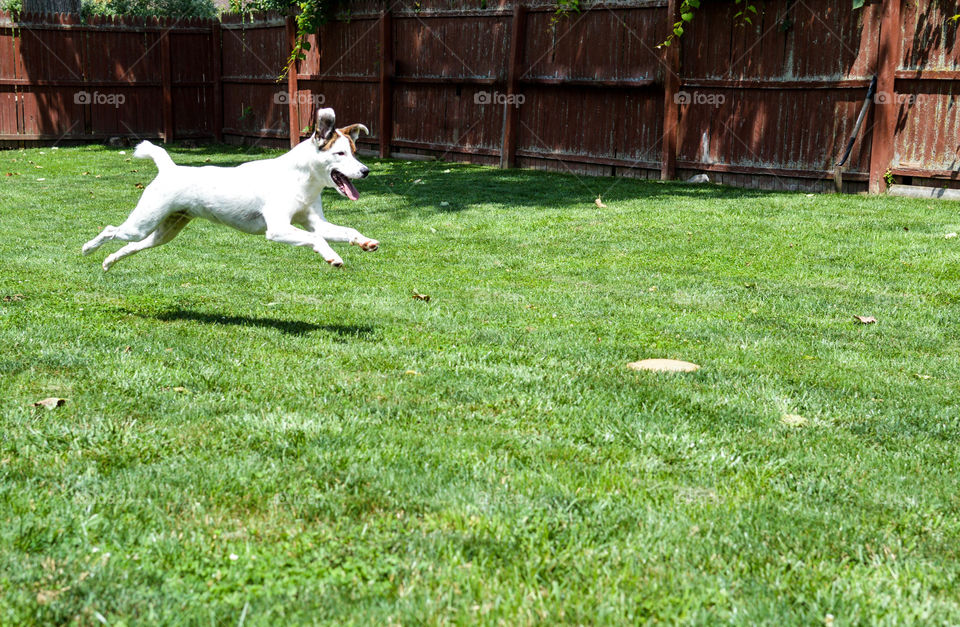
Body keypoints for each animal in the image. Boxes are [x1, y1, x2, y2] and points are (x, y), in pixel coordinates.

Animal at [80, 108, 378, 270]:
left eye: (354, 151)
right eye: (340, 153)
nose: (365, 171)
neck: (300, 180)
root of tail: (169, 168)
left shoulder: (316, 223)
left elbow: (344, 231)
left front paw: (364, 241)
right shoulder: (278, 229)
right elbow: (316, 239)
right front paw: (332, 256)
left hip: (165, 231)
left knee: (133, 246)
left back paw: (110, 261)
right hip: (143, 221)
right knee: (111, 230)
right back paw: (88, 249)